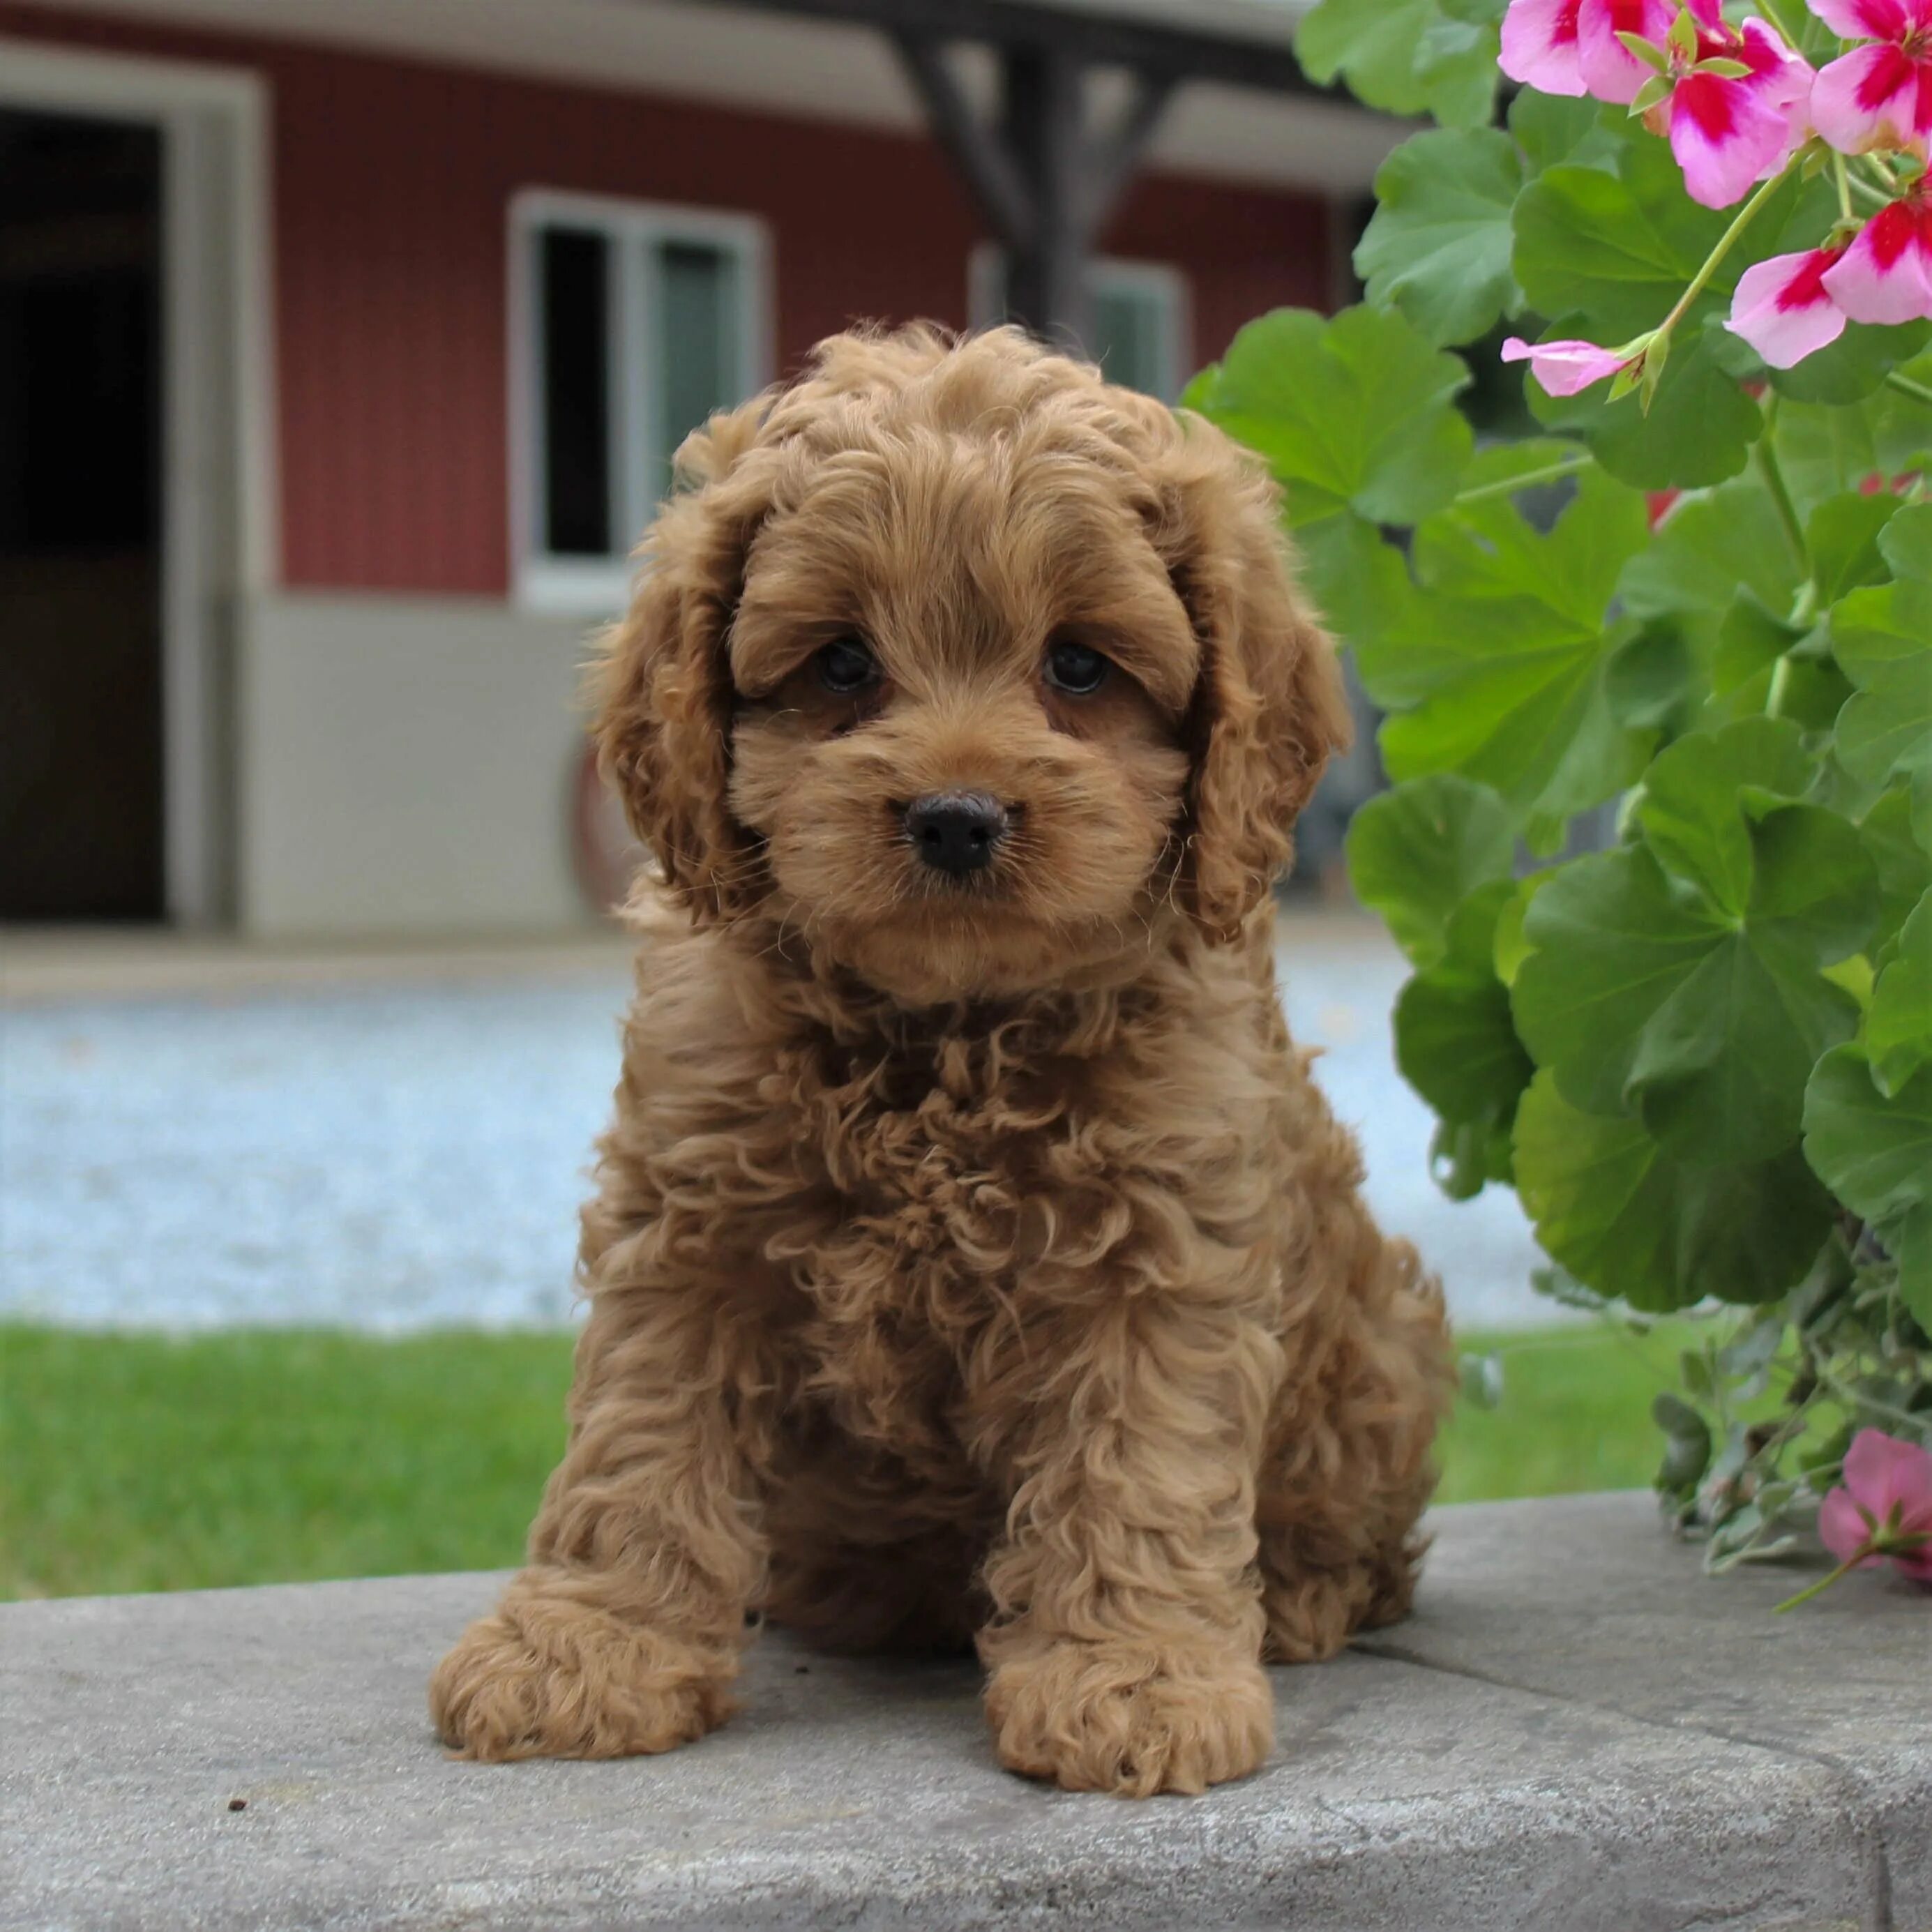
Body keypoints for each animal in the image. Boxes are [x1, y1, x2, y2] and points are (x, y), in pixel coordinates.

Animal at [427, 328, 1453, 1793]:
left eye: (1078, 667)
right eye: (844, 666)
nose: (957, 817)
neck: (941, 1038)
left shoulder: (1156, 1255)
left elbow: (1137, 1459)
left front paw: (1135, 1680)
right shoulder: (687, 1231)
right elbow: (640, 1436)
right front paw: (589, 1647)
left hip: (1384, 1349)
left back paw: (1303, 1601)